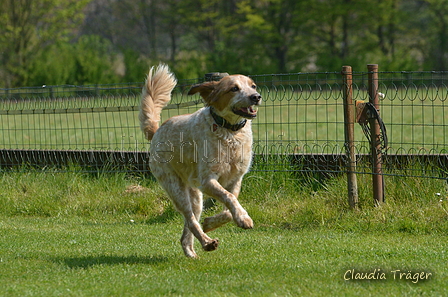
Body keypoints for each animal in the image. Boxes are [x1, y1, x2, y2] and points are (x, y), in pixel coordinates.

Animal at [138, 64, 260, 256]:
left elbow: (229, 207)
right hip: (176, 189)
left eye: (253, 86)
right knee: (190, 220)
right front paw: (242, 218)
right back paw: (207, 242)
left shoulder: (236, 179)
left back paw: (196, 249)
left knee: (188, 229)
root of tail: (157, 131)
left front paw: (212, 223)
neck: (230, 132)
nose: (256, 97)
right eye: (234, 88)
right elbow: (229, 199)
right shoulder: (207, 181)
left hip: (195, 197)